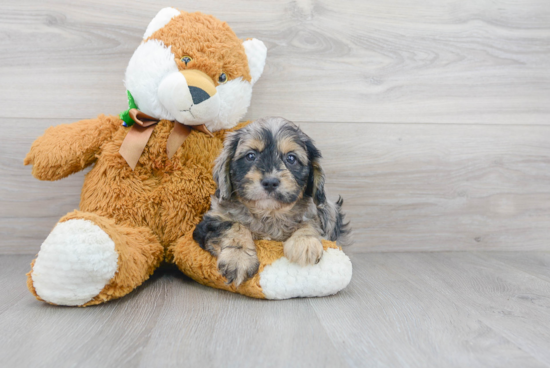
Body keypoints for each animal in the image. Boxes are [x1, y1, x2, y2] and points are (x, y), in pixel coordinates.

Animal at [192, 116, 352, 286]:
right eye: (250, 156)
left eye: (291, 158)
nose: (270, 182)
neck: (268, 213)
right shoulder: (211, 220)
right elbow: (234, 226)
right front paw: (238, 258)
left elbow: (309, 223)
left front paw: (305, 242)